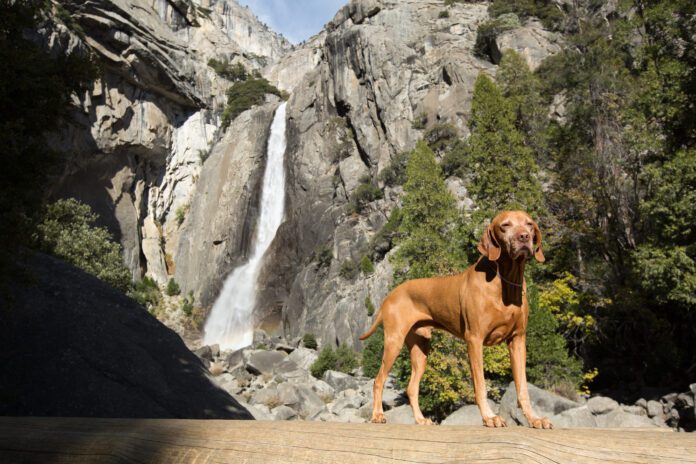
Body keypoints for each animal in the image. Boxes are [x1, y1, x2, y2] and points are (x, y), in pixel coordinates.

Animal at [362, 210, 552, 428]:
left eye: (529, 224)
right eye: (505, 225)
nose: (524, 237)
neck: (505, 281)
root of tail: (390, 294)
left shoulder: (518, 340)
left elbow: (522, 388)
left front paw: (535, 419)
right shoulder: (475, 339)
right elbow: (480, 385)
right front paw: (489, 417)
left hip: (421, 348)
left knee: (411, 388)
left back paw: (420, 419)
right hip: (394, 341)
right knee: (378, 380)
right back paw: (377, 415)